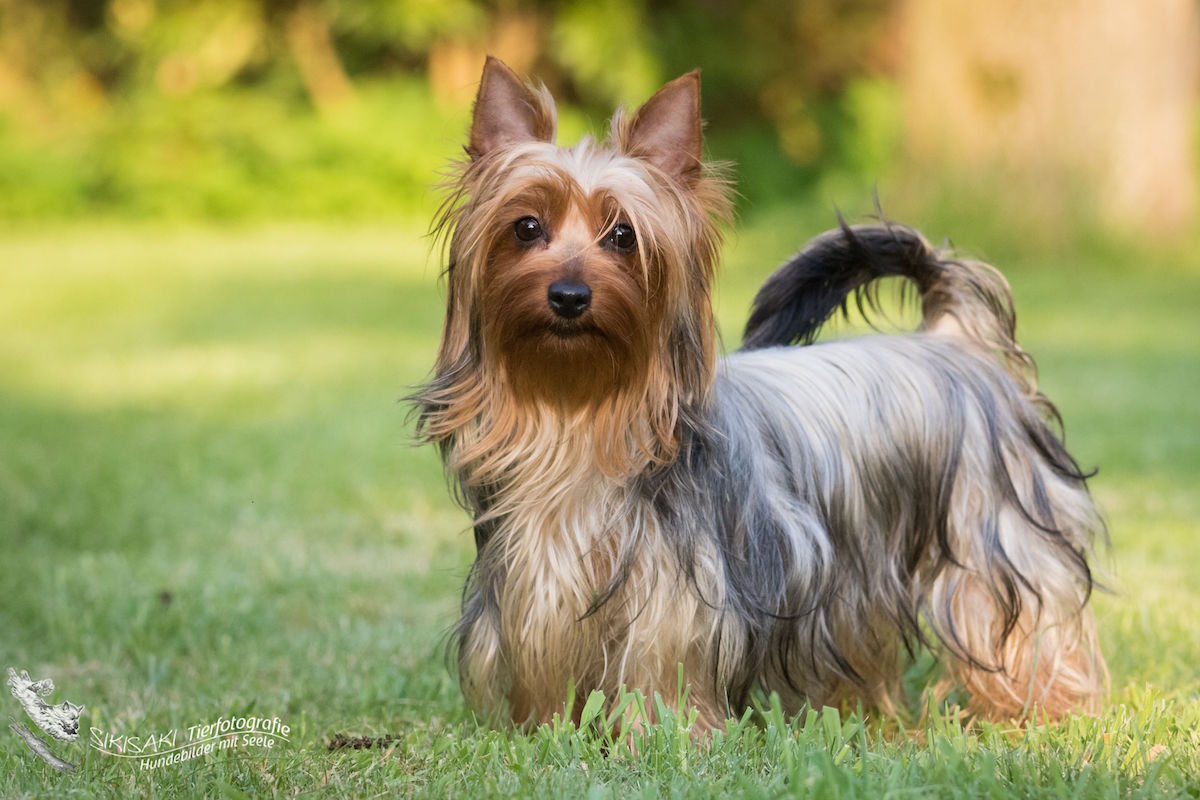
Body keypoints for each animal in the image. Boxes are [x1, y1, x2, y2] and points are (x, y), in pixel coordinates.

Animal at [412, 57, 1104, 734]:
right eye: (527, 227)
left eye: (623, 236)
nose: (569, 296)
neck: (579, 413)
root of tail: (953, 337)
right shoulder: (536, 593)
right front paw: (551, 731)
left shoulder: (679, 598)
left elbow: (663, 672)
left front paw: (657, 737)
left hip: (994, 535)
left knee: (1020, 621)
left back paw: (1041, 709)